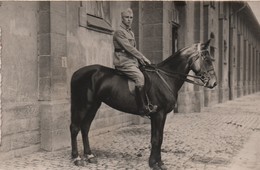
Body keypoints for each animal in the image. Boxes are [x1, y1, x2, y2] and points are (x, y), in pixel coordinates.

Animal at [69, 39, 217, 169]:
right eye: (207, 59)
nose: (214, 83)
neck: (166, 78)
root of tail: (76, 73)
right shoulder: (159, 114)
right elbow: (157, 139)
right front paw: (155, 164)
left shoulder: (158, 116)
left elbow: (157, 138)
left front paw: (157, 162)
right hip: (83, 105)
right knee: (75, 128)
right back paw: (76, 158)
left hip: (94, 106)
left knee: (85, 127)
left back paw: (89, 156)